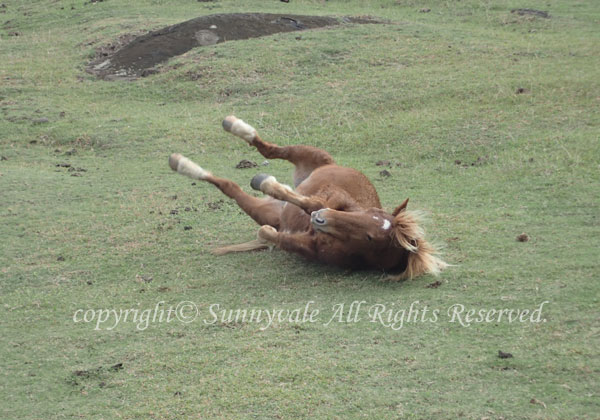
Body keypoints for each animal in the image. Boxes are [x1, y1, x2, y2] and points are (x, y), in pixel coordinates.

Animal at [169, 115, 446, 278]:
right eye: (371, 214)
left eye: (370, 237)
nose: (320, 220)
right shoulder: (336, 197)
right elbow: (313, 201)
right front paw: (272, 184)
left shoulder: (306, 245)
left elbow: (276, 235)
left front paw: (270, 229)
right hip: (311, 154)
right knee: (269, 150)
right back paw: (232, 128)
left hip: (262, 210)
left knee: (229, 186)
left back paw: (185, 165)